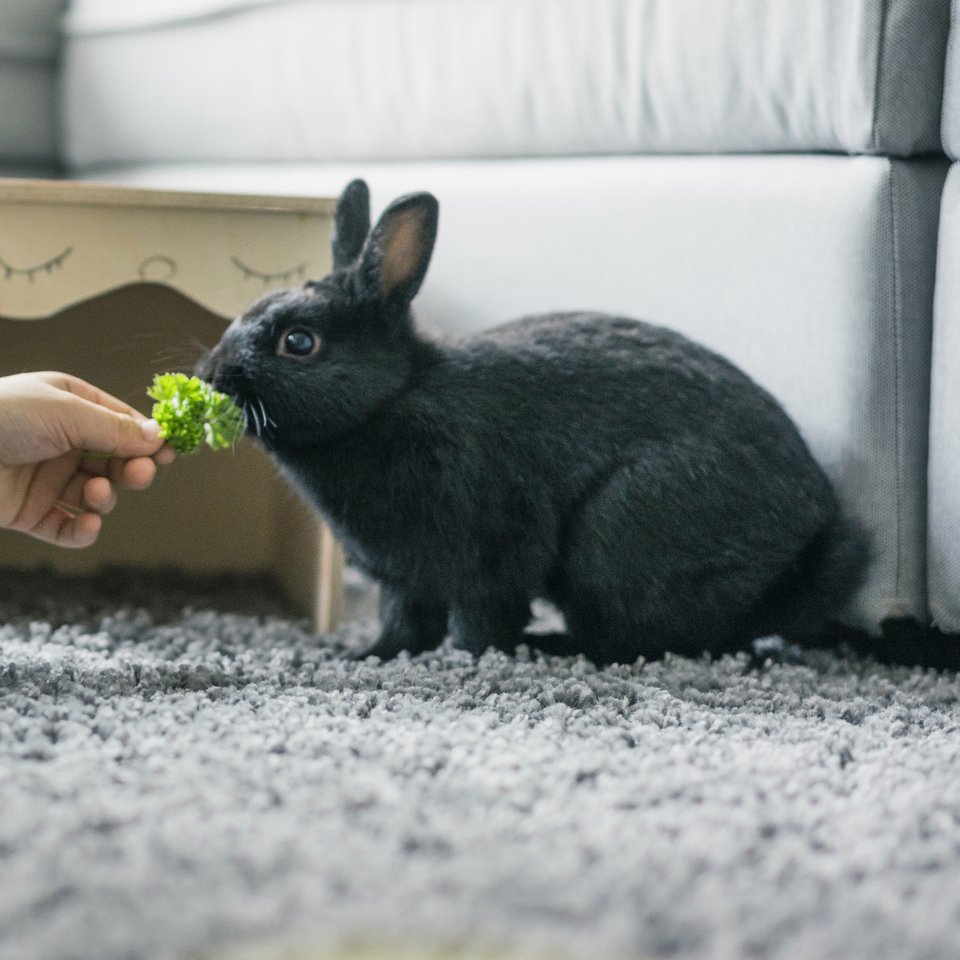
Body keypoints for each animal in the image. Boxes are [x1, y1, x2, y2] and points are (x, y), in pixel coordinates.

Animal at [197, 178, 870, 664]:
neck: (392, 399)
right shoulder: (404, 578)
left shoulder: (488, 555)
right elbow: (405, 626)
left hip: (617, 538)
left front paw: (472, 660)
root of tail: (809, 532)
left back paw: (554, 647)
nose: (210, 377)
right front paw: (364, 657)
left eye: (299, 342)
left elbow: (478, 626)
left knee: (646, 640)